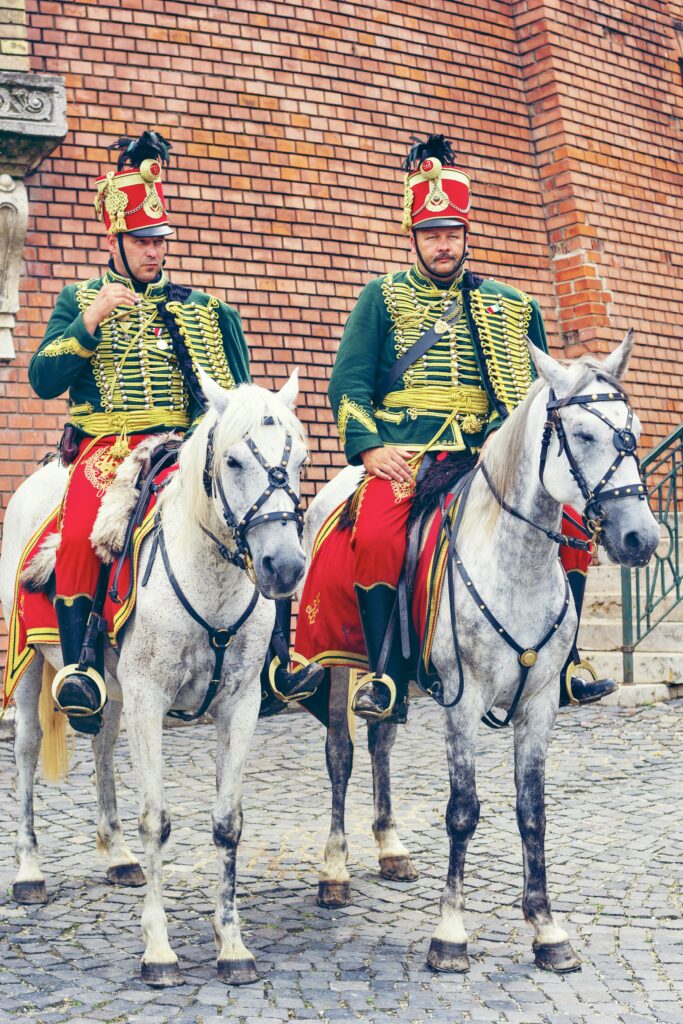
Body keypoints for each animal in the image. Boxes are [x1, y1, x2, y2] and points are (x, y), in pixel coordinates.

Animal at [0, 372, 309, 987]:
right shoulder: (150, 700)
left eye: (301, 460)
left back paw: (118, 857)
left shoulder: (238, 706)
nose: (285, 567)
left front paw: (231, 945)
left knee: (100, 745)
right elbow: (156, 821)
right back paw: (29, 871)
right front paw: (159, 949)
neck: (209, 581)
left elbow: (227, 823)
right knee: (25, 751)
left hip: (110, 687)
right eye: (233, 460)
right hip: (27, 663)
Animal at [305, 335, 655, 974]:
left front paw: (546, 929)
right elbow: (463, 810)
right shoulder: (462, 704)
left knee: (381, 740)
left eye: (633, 432)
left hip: (396, 680)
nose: (642, 539)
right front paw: (450, 933)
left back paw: (390, 847)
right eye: (583, 435)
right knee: (341, 755)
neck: (517, 563)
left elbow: (532, 811)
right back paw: (335, 870)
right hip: (341, 664)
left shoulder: (540, 706)